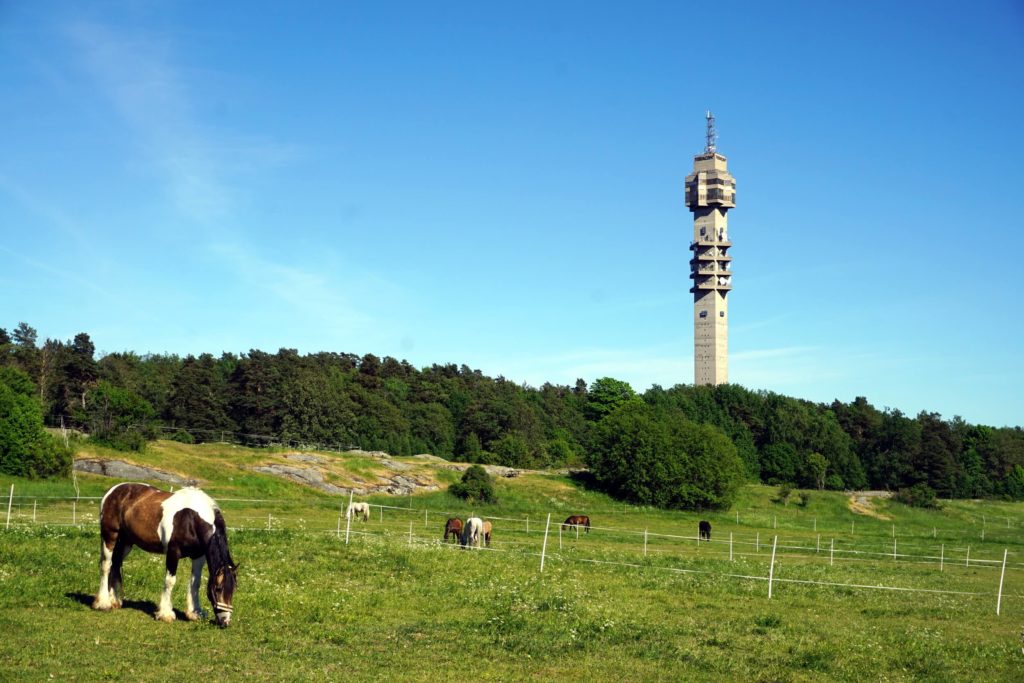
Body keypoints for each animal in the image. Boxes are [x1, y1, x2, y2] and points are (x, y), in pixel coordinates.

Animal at [92, 483, 239, 626]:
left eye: (234, 589)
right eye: (218, 589)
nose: (225, 621)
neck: (191, 518)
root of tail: (112, 490)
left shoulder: (198, 557)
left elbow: (195, 583)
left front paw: (195, 613)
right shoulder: (173, 553)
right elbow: (170, 581)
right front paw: (166, 614)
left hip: (126, 542)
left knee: (115, 564)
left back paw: (114, 600)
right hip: (110, 537)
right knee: (106, 565)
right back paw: (103, 603)